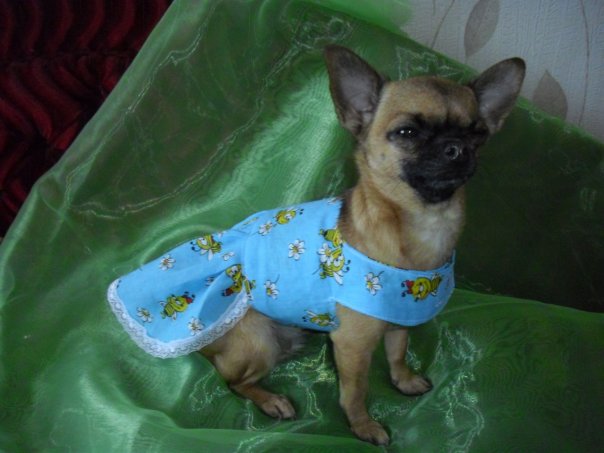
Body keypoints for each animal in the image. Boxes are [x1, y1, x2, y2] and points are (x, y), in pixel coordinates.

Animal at [108, 45, 525, 445]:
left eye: (477, 134)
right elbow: (355, 392)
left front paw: (403, 380)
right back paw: (271, 400)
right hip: (259, 342)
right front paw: (362, 426)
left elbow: (397, 354)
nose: (457, 148)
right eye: (407, 133)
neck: (424, 224)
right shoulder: (353, 346)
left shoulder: (398, 320)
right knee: (234, 383)